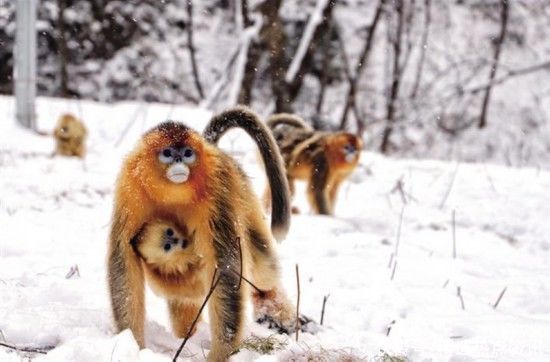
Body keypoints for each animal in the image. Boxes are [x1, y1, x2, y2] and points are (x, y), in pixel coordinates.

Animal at [108, 106, 306, 360]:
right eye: (168, 153)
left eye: (187, 153)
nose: (179, 162)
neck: (172, 192)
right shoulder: (130, 188)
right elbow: (123, 258)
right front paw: (132, 344)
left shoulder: (216, 187)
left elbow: (226, 265)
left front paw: (221, 353)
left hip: (244, 196)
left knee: (263, 272)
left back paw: (276, 311)